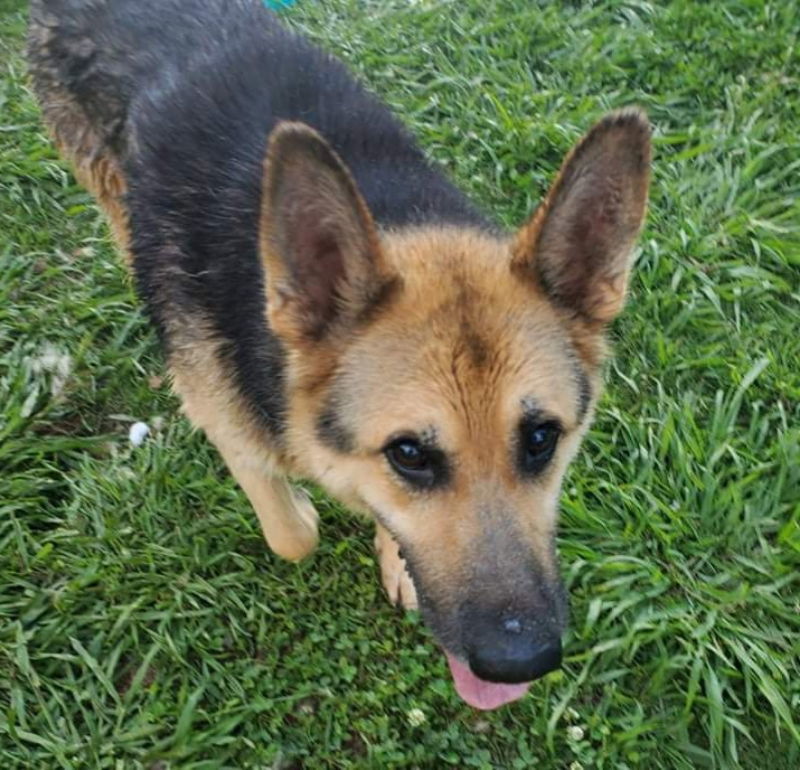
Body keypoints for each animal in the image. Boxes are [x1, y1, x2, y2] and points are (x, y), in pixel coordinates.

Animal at [28, 0, 648, 708]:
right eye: (409, 454)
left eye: (542, 438)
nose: (521, 662)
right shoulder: (232, 424)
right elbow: (293, 534)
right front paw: (302, 506)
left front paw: (394, 557)